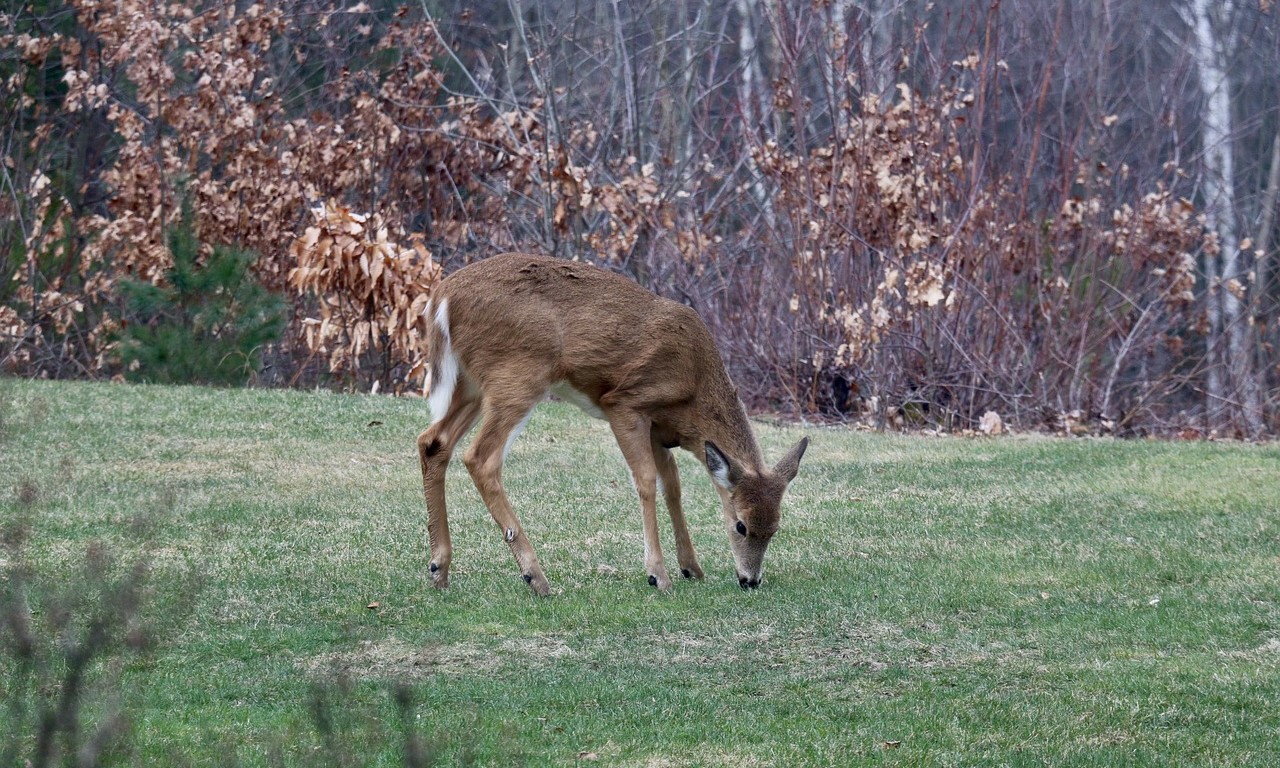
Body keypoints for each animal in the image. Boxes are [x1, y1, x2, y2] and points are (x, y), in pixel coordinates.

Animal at [416, 253, 809, 596]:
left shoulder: (658, 429)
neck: (693, 389)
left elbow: (673, 485)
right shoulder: (626, 404)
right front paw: (658, 574)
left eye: (776, 526)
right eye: (741, 524)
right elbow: (647, 480)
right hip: (518, 374)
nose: (751, 581)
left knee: (433, 442)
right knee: (481, 458)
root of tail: (442, 297)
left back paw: (439, 570)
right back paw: (536, 577)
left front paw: (691, 568)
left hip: (472, 383)